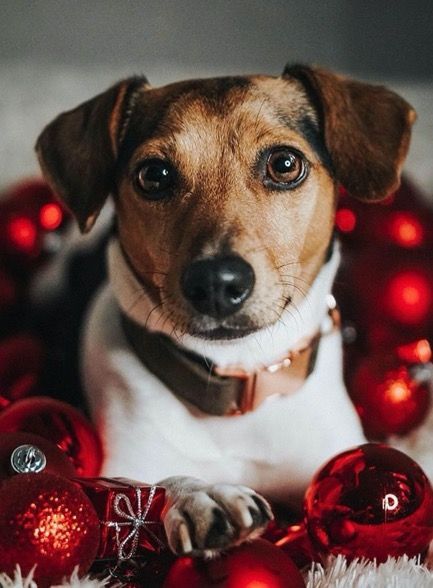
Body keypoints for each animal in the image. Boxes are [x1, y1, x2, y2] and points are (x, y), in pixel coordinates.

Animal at [34, 64, 416, 556]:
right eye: (154, 175)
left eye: (284, 164)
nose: (216, 282)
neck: (234, 379)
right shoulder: (119, 462)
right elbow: (150, 484)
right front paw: (202, 495)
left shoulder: (332, 453)